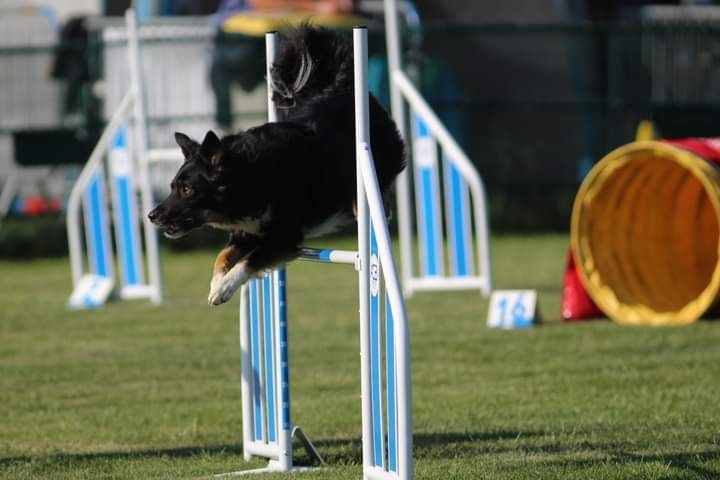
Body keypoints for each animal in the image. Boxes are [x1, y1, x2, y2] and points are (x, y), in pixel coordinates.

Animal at [148, 24, 404, 304]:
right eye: (172, 187)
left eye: (187, 190)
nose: (151, 216)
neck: (252, 176)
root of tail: (343, 89)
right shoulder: (247, 231)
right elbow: (222, 255)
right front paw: (216, 284)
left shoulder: (284, 237)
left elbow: (250, 261)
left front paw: (225, 287)